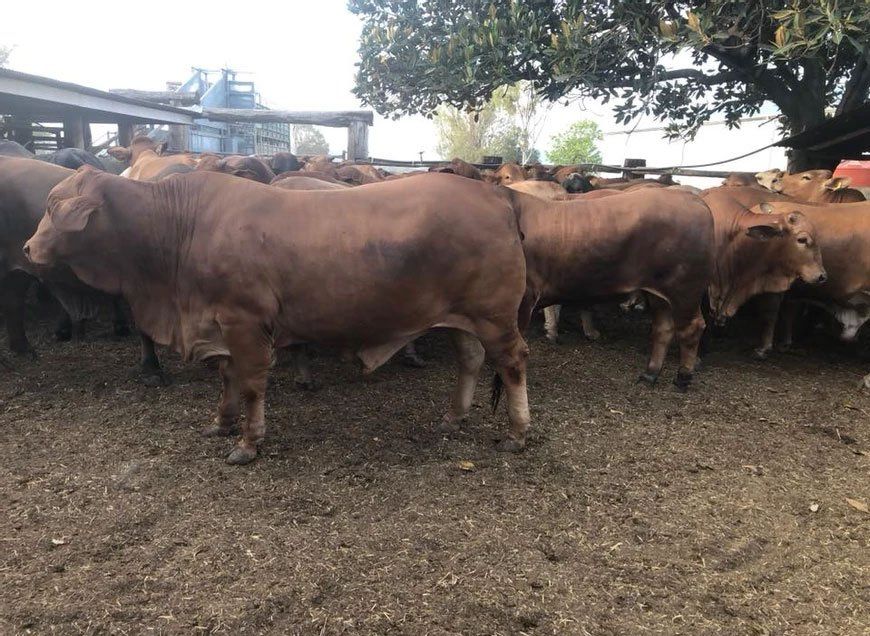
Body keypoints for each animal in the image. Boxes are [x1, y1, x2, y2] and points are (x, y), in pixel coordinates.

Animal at [25, 170, 532, 464]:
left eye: (51, 205)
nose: (28, 248)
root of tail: (496, 194)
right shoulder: (219, 324)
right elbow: (227, 377)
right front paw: (221, 422)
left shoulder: (245, 322)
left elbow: (251, 383)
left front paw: (248, 442)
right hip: (458, 317)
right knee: (470, 360)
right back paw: (453, 416)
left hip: (496, 318)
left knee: (512, 364)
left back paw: (517, 432)